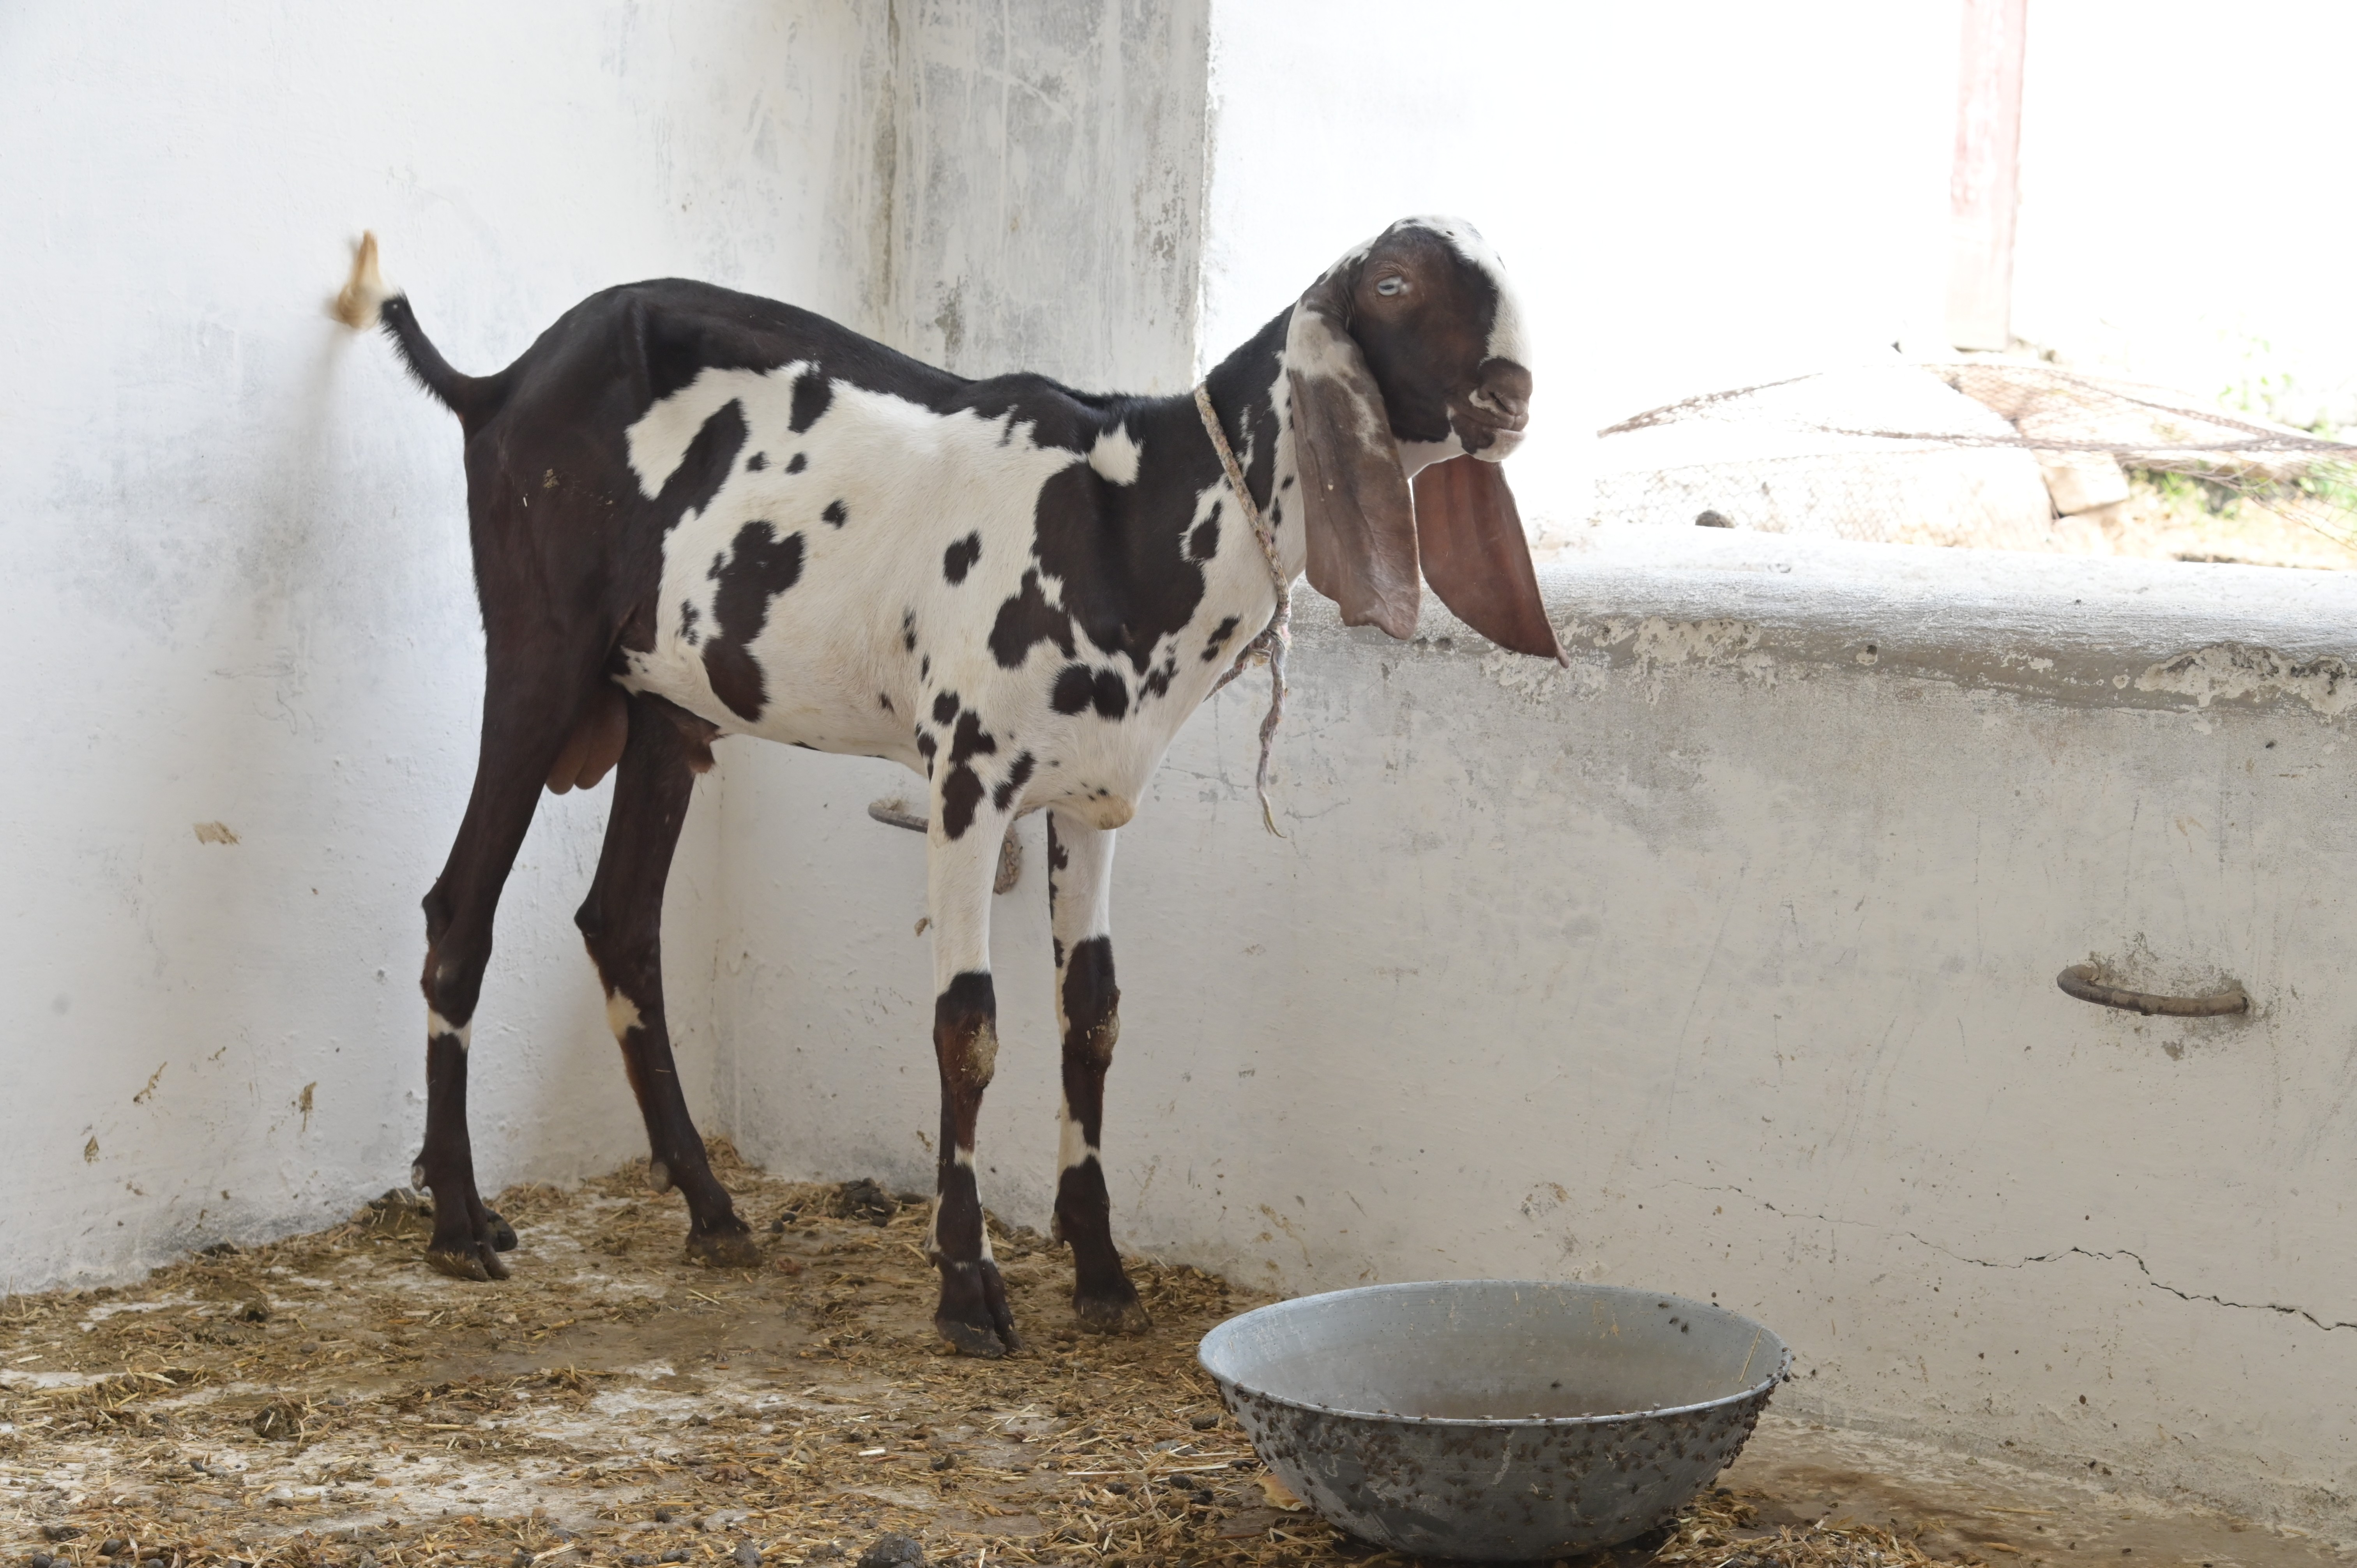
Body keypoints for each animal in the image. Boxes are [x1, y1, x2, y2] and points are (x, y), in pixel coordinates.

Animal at [334, 216, 1561, 1356]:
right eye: (1393, 284)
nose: (1511, 395)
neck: (1127, 512)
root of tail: (500, 385)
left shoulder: (1093, 795)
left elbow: (1094, 1015)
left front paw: (1103, 1274)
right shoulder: (970, 774)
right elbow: (967, 1026)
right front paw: (968, 1287)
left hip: (664, 703)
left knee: (621, 920)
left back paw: (714, 1210)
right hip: (540, 649)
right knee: (461, 910)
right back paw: (461, 1223)